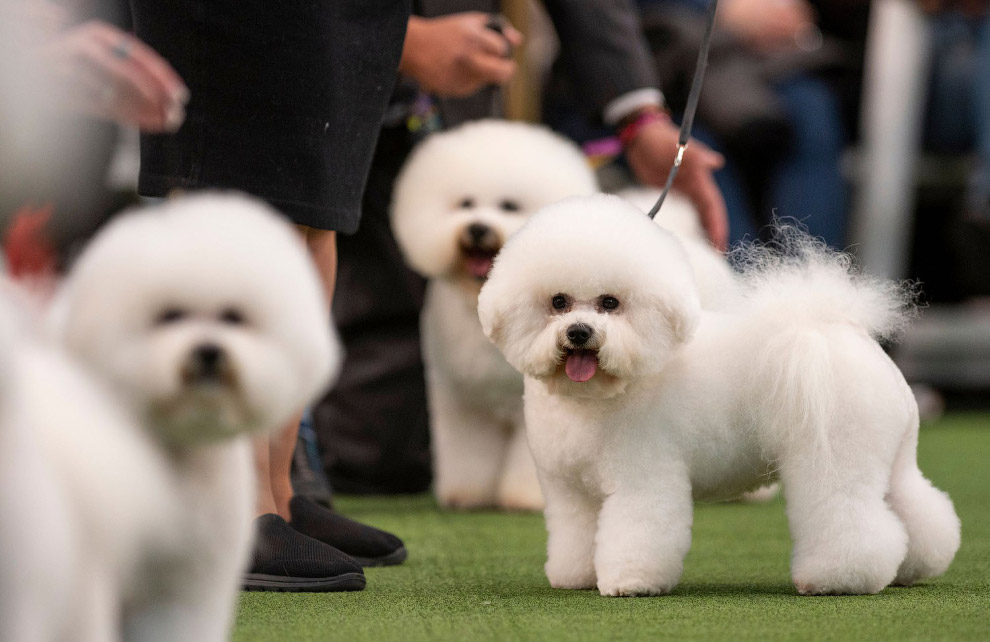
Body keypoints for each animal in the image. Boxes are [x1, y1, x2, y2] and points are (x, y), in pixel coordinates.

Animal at [392, 121, 600, 510]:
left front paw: (524, 497)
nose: (477, 228)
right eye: (466, 203)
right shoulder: (462, 401)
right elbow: (469, 450)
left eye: (508, 205)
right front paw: (466, 493)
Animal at [480, 194, 960, 596]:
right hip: (893, 457)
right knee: (916, 509)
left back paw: (836, 579)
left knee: (851, 518)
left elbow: (637, 530)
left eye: (610, 303)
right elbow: (576, 536)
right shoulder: (570, 492)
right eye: (558, 302)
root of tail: (839, 333)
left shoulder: (644, 478)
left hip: (834, 455)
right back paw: (915, 567)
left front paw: (630, 582)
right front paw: (575, 576)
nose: (579, 332)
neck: (601, 396)